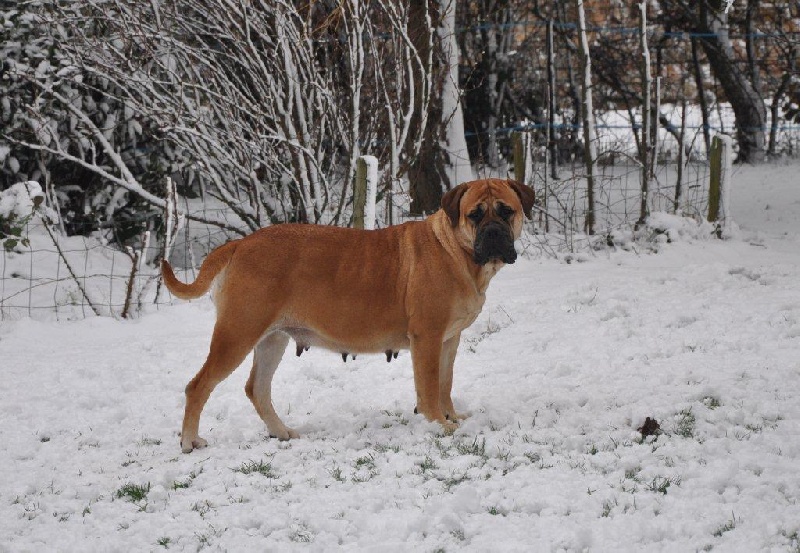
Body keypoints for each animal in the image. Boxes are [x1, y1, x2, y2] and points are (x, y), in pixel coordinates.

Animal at [161, 179, 532, 450]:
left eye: (506, 211)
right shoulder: (428, 337)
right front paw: (438, 426)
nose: (494, 233)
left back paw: (281, 431)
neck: (458, 252)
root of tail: (240, 244)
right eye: (475, 215)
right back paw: (190, 441)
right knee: (198, 386)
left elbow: (444, 383)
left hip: (272, 339)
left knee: (257, 389)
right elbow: (428, 387)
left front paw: (451, 417)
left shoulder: (448, 340)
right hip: (237, 334)